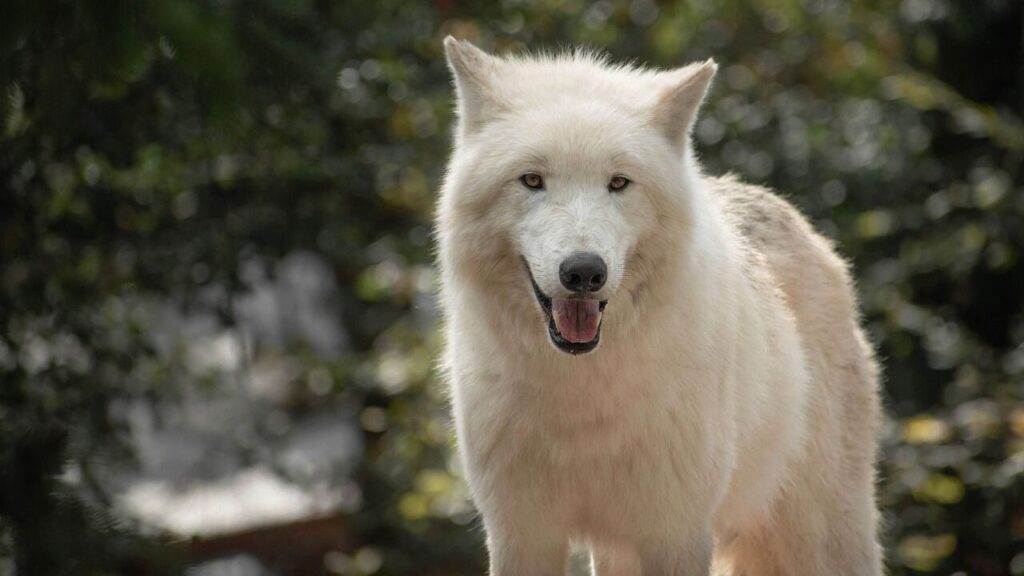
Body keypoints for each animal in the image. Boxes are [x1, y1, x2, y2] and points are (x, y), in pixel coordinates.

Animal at [436, 36, 883, 576]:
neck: (580, 395)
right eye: (532, 180)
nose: (583, 272)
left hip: (817, 537)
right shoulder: (521, 536)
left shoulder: (676, 534)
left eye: (618, 183)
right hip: (619, 551)